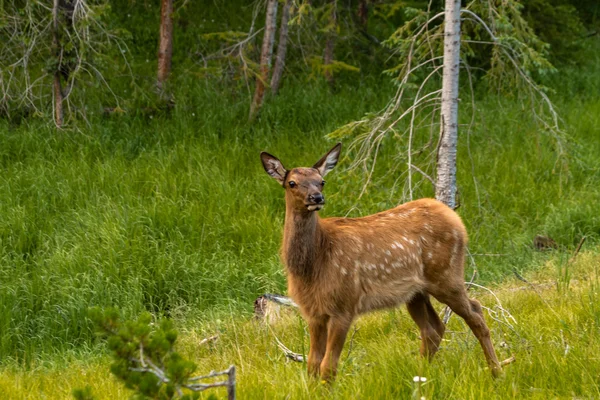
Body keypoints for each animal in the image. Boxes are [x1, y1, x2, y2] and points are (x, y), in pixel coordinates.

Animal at [260, 142, 500, 380]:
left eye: (322, 181)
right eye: (292, 183)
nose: (317, 198)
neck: (315, 263)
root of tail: (456, 218)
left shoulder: (345, 304)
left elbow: (328, 366)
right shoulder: (313, 312)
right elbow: (312, 364)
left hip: (447, 275)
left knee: (476, 313)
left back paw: (496, 372)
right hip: (415, 292)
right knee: (433, 329)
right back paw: (421, 376)